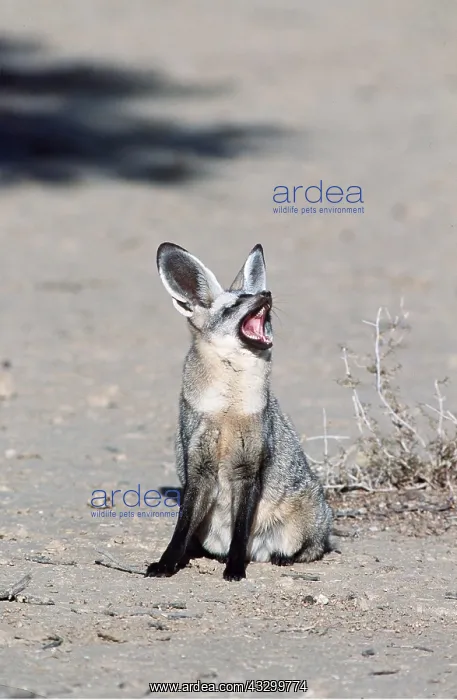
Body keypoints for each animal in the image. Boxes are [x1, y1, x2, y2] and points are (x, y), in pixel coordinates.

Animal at [145, 242, 333, 581]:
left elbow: (241, 528)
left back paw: (281, 557)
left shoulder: (248, 467)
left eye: (254, 294)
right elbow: (181, 528)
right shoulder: (199, 467)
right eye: (234, 304)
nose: (267, 293)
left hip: (311, 517)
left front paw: (234, 568)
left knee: (313, 547)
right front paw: (166, 563)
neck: (228, 409)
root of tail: (261, 551)